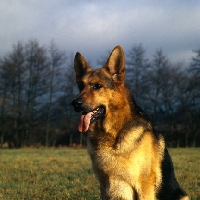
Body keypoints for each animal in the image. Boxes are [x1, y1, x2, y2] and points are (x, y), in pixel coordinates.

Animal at [70, 45, 189, 200]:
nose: (74, 104)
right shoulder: (105, 187)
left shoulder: (144, 187)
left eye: (97, 86)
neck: (113, 133)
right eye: (80, 86)